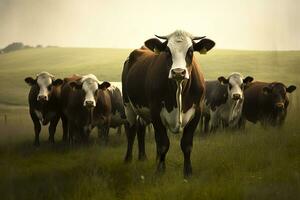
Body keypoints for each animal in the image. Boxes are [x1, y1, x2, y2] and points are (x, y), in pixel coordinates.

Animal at [122, 29, 216, 177]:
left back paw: (143, 158)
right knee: (131, 131)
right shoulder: (155, 111)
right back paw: (128, 160)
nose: (178, 72)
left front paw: (188, 173)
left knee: (141, 128)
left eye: (190, 51)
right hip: (128, 105)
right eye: (167, 50)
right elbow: (163, 144)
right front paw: (160, 171)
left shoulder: (197, 112)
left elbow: (186, 144)